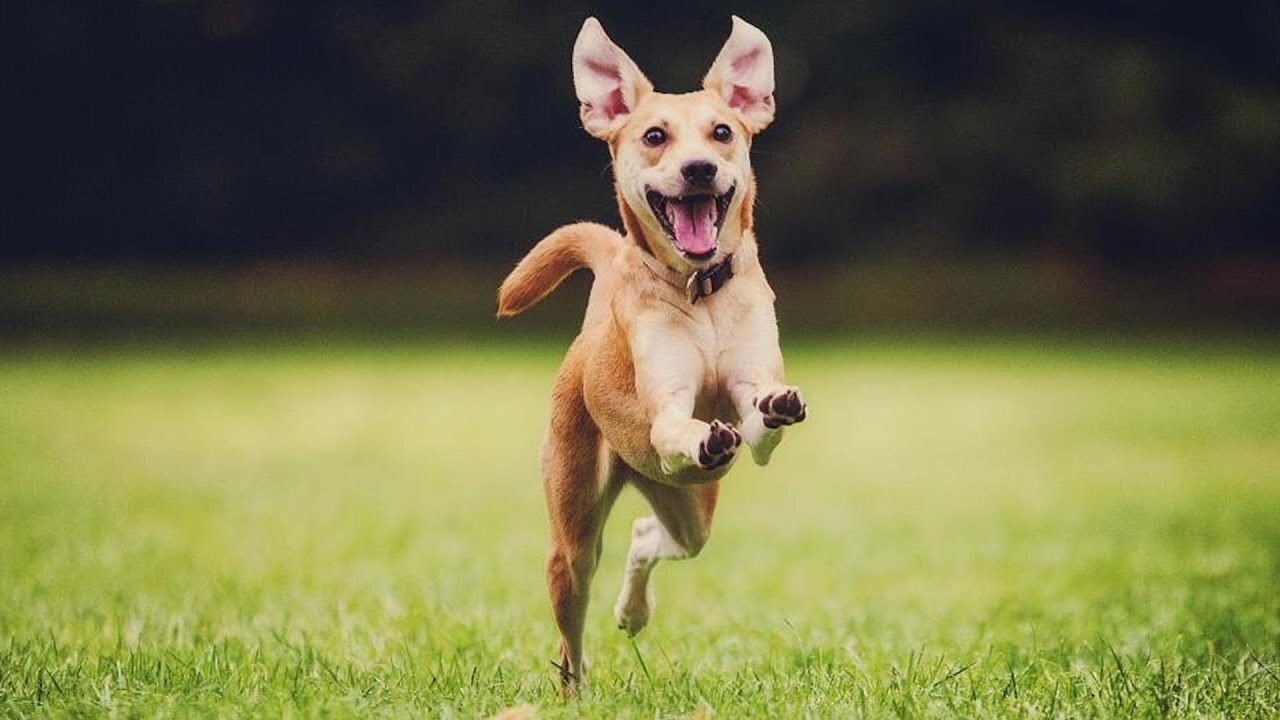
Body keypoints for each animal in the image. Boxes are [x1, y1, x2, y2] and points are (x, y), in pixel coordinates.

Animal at [494, 15, 803, 691]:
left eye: (722, 132)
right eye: (655, 136)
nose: (699, 169)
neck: (701, 293)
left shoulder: (750, 394)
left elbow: (760, 422)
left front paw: (771, 410)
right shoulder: (665, 411)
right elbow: (673, 425)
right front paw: (701, 434)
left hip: (690, 507)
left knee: (650, 535)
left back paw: (633, 612)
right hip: (574, 530)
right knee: (571, 633)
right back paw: (577, 689)